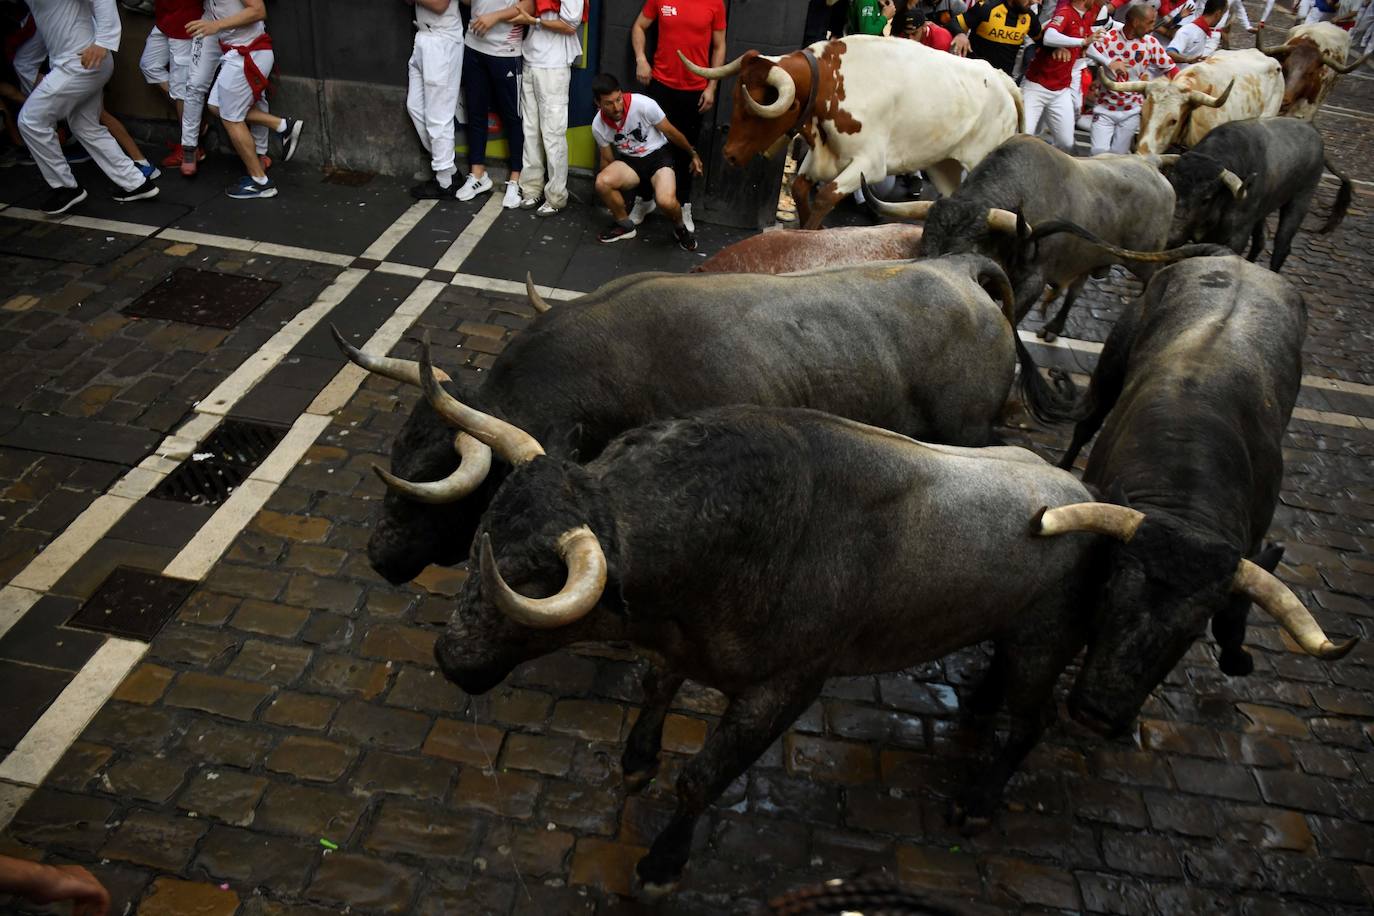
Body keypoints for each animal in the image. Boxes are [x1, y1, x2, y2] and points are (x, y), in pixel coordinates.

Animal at [420, 368, 1352, 895]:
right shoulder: (682, 652)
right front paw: (636, 759)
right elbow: (654, 691)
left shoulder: (784, 692)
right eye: (484, 544)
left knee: (1030, 720)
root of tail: (1076, 490)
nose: (450, 656)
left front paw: (661, 863)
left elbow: (702, 779)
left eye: (536, 579)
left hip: (1044, 643)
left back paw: (977, 798)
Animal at [868, 138, 1170, 346]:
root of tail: (1151, 165)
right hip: (1087, 257)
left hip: (1143, 260)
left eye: (963, 254)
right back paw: (1053, 327)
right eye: (924, 249)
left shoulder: (1032, 282)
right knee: (1076, 287)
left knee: (1152, 277)